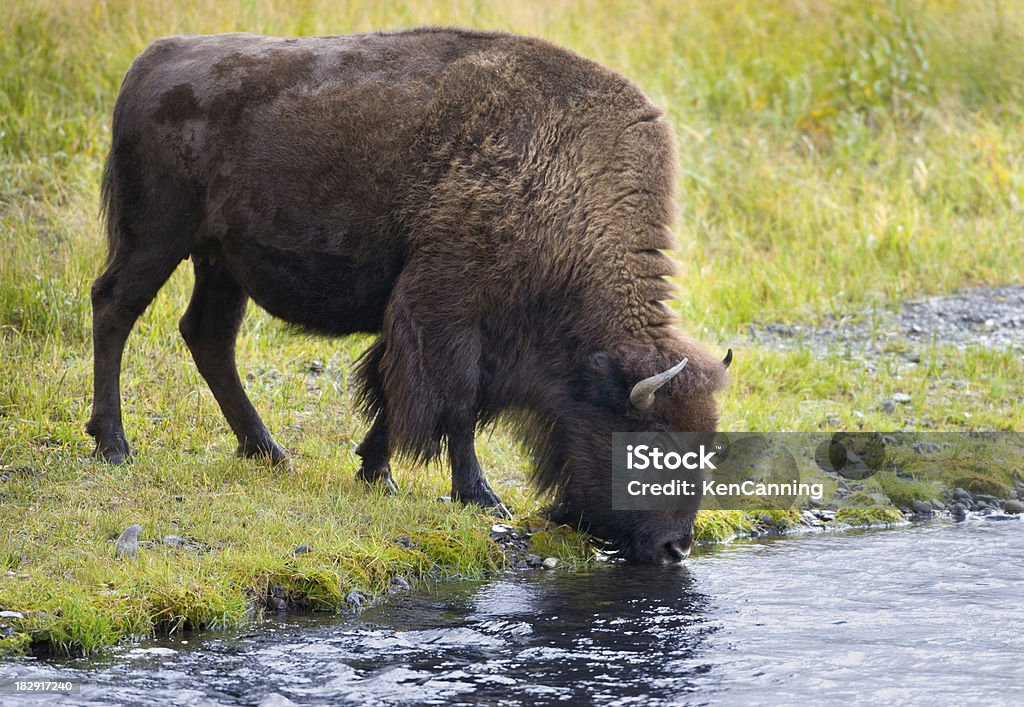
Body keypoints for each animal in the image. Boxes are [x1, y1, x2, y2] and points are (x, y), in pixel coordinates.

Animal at [88, 30, 729, 565]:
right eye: (649, 443)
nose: (676, 548)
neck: (567, 186)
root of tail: (153, 59)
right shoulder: (447, 309)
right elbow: (455, 404)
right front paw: (483, 498)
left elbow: (391, 390)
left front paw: (377, 471)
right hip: (156, 238)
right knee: (114, 308)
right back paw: (115, 446)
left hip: (220, 262)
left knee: (208, 337)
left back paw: (268, 451)